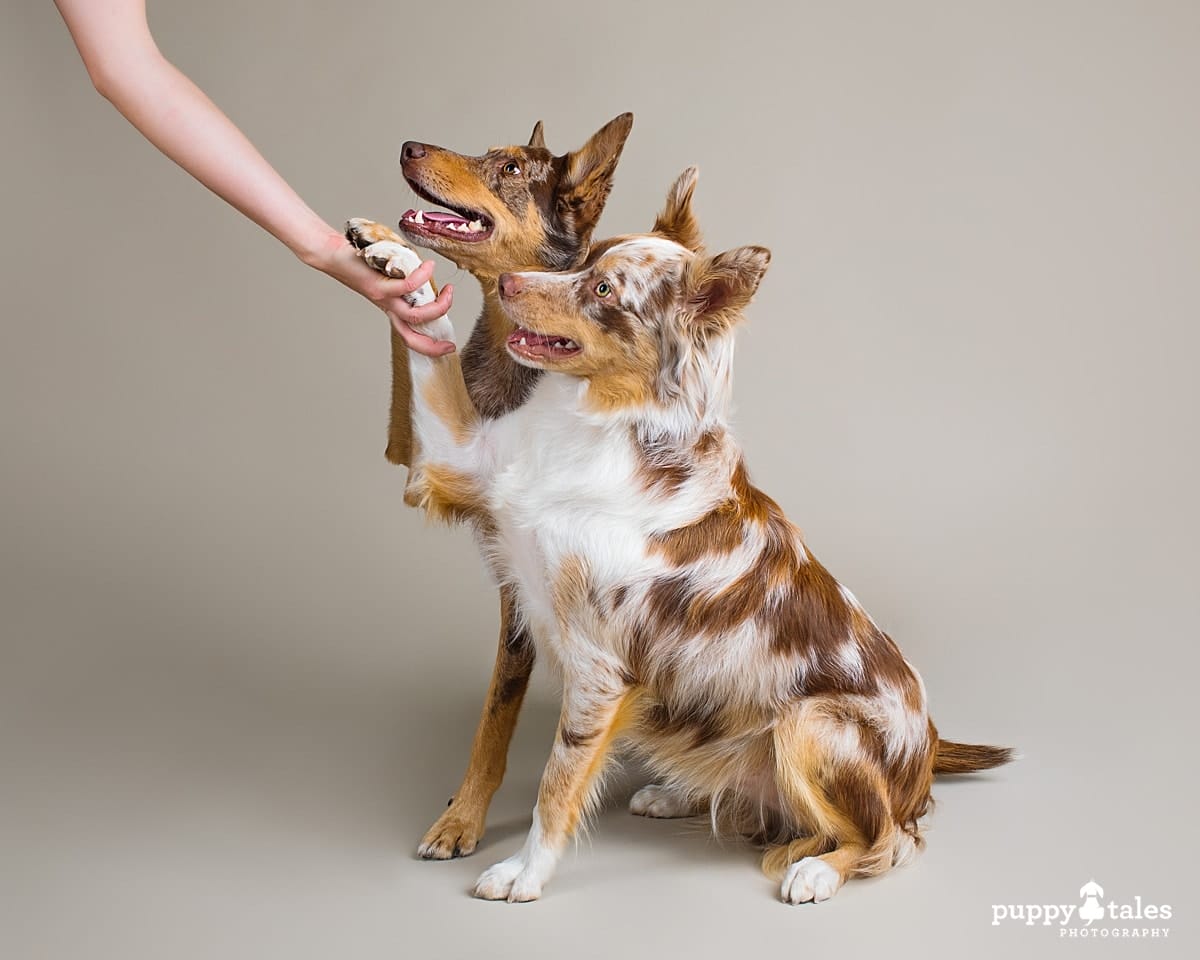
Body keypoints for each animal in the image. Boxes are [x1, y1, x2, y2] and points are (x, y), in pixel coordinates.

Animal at [379, 169, 1008, 902]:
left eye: (604, 290)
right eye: (582, 261)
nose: (509, 284)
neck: (600, 426)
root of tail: (927, 749)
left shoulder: (599, 664)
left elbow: (557, 785)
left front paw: (522, 873)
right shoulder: (466, 463)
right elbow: (436, 355)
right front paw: (394, 259)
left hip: (811, 724)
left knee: (892, 839)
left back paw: (817, 869)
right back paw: (683, 793)